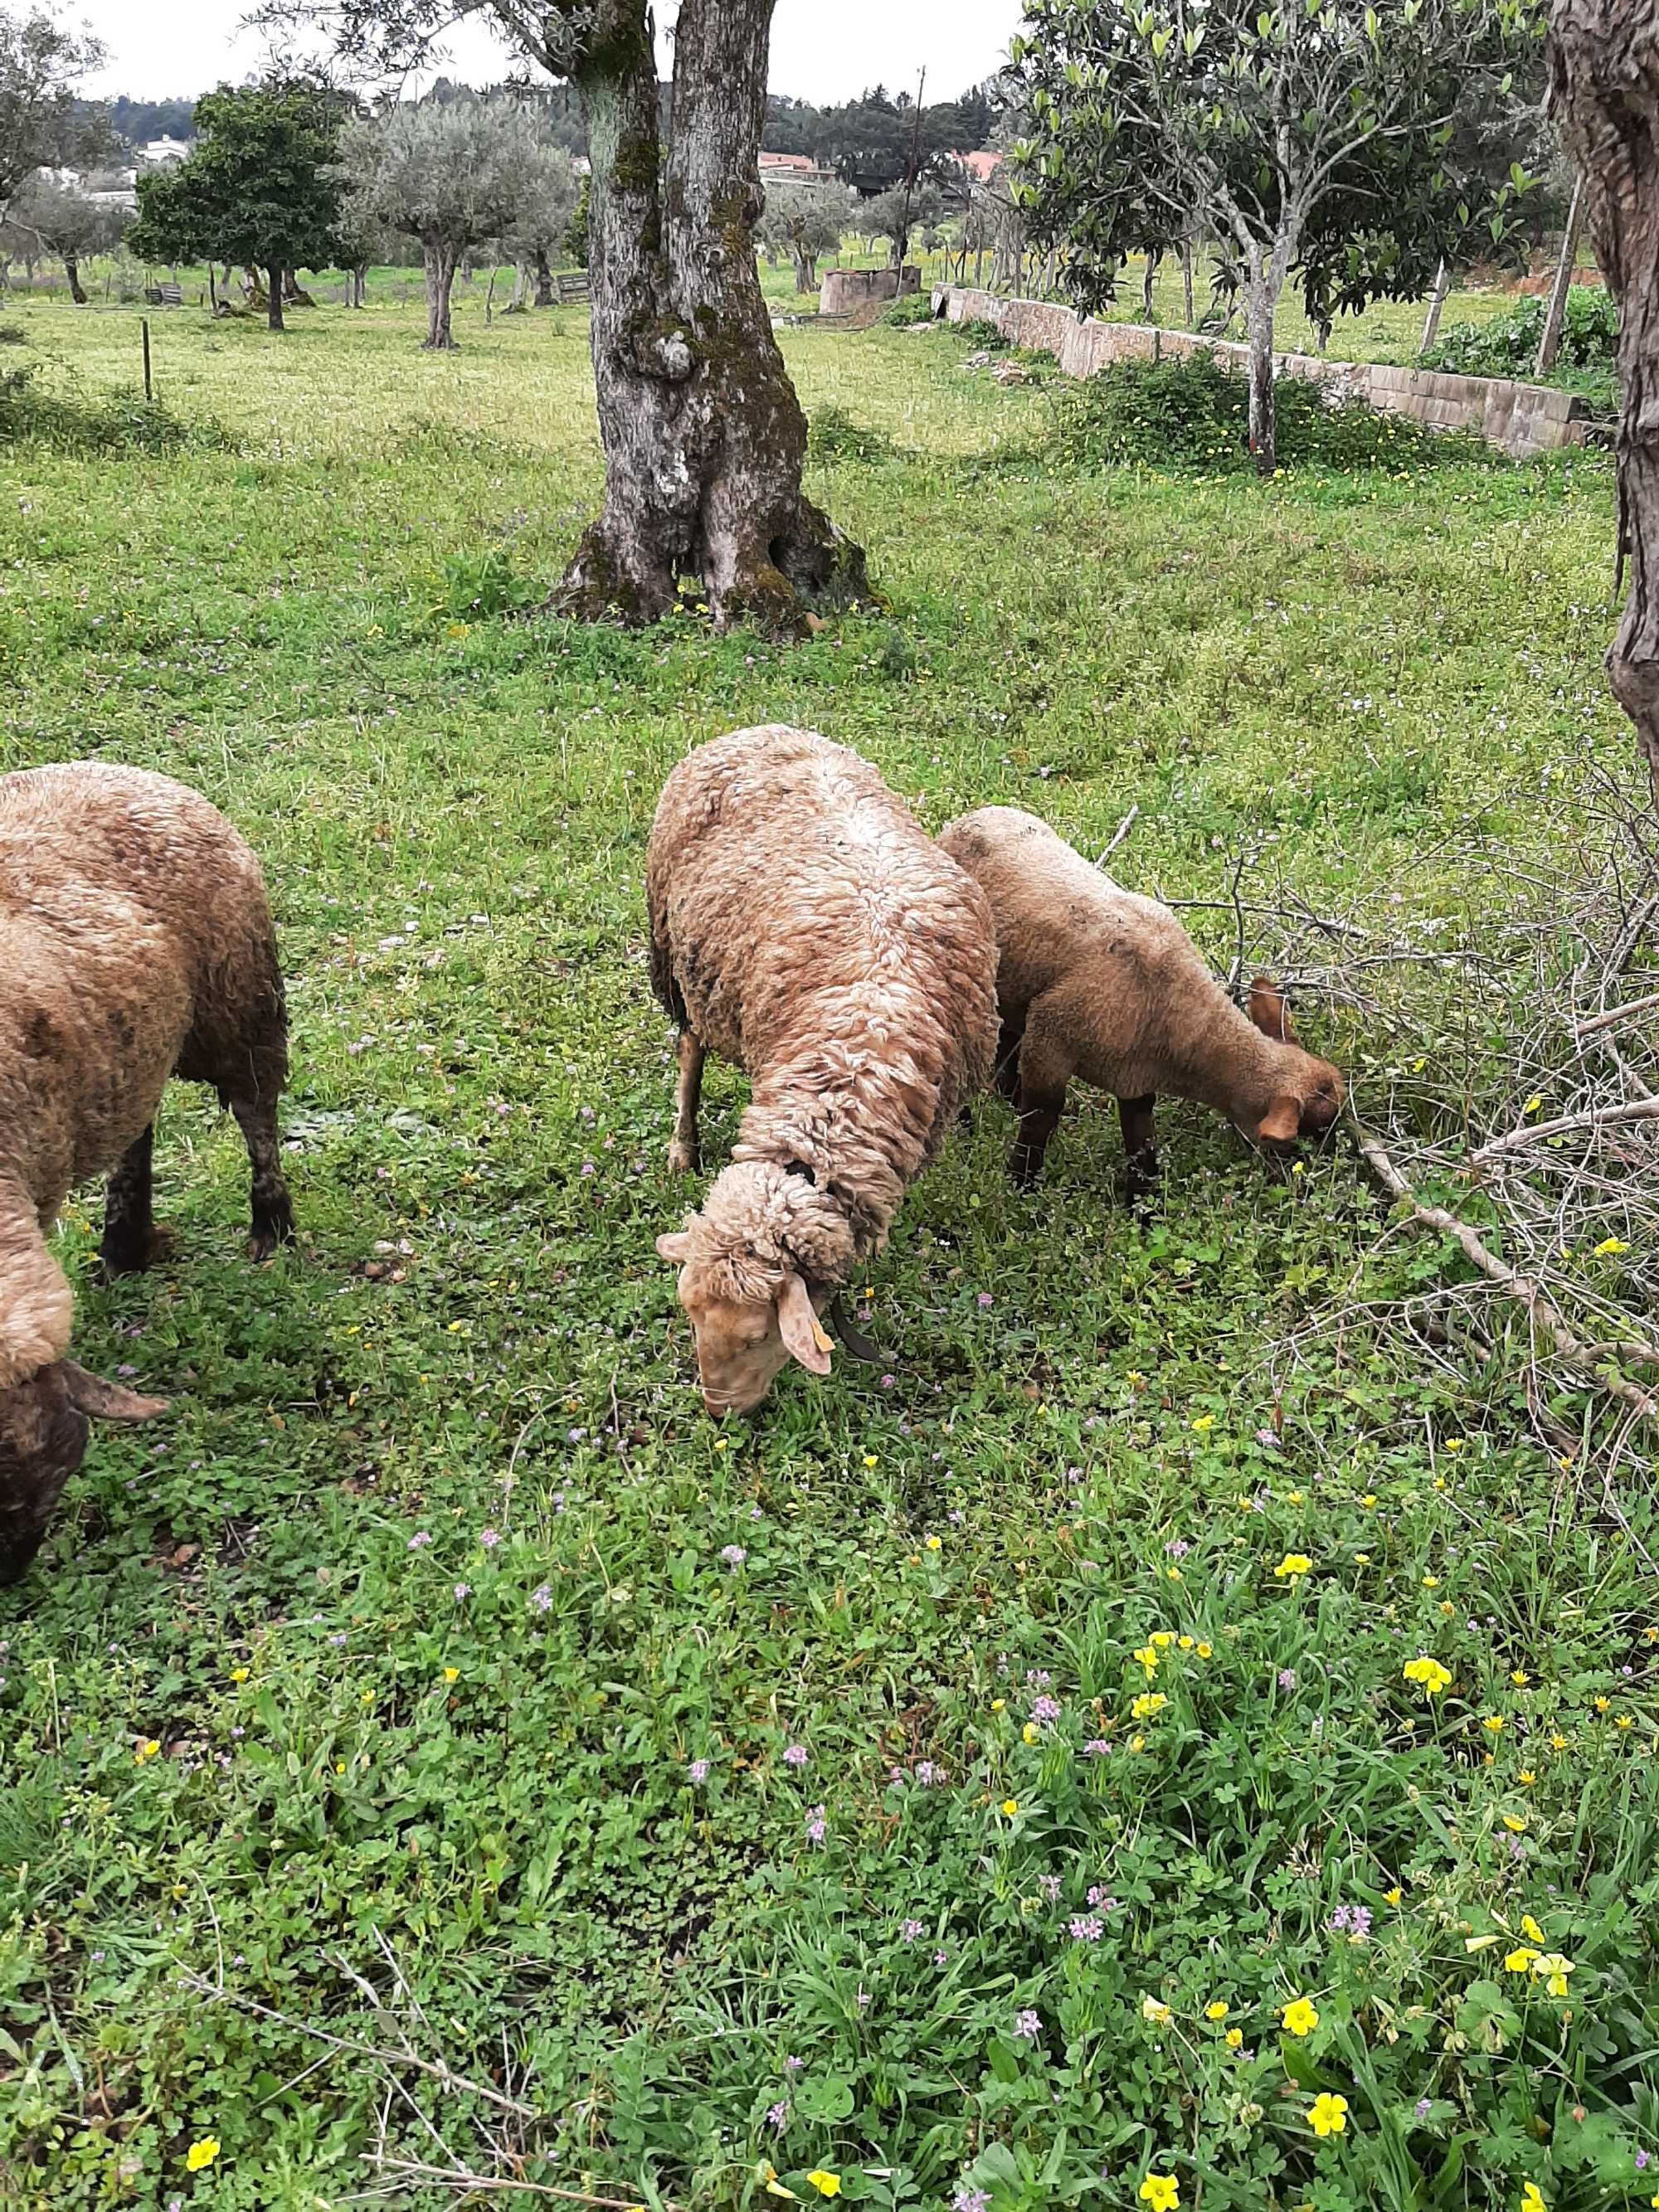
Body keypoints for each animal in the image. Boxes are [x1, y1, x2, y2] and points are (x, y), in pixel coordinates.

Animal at [0, 765, 296, 1592]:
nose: (7, 1577)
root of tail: (119, 769)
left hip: (235, 998)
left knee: (256, 1108)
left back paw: (271, 1226)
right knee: (140, 1122)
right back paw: (124, 1241)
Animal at [650, 725, 995, 1415]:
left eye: (758, 1336)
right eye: (689, 1313)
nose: (720, 1412)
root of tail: (755, 727)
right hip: (679, 961)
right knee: (690, 1051)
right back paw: (683, 1145)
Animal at [937, 805, 1354, 1194]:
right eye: (1315, 1129)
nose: (1325, 1173)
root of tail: (970, 817)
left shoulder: (1134, 1078)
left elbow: (1141, 1146)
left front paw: (1141, 1206)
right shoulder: (1051, 1036)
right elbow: (1040, 1117)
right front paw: (1021, 1183)